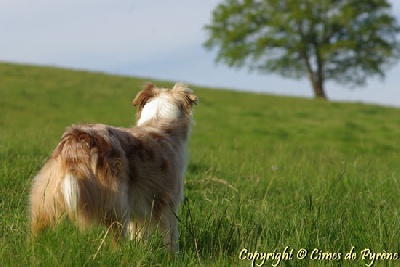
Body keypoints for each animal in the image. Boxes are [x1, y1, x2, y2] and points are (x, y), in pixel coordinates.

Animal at [28, 82, 197, 252]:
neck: (160, 122)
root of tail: (78, 140)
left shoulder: (141, 209)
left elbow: (140, 235)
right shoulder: (169, 203)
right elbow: (171, 239)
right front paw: (174, 256)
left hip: (46, 198)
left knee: (37, 229)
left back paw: (34, 249)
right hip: (117, 204)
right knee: (115, 240)